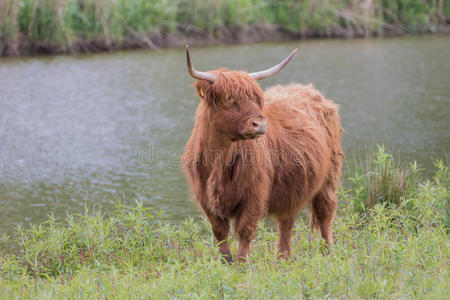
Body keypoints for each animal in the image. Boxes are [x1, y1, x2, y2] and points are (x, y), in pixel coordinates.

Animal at [181, 45, 342, 262]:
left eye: (256, 99)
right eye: (229, 99)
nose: (260, 124)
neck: (219, 161)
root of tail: (310, 90)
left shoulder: (254, 194)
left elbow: (245, 230)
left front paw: (241, 263)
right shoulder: (205, 198)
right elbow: (220, 232)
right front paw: (225, 261)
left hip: (329, 178)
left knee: (325, 214)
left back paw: (326, 252)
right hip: (292, 185)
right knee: (286, 221)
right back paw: (283, 257)